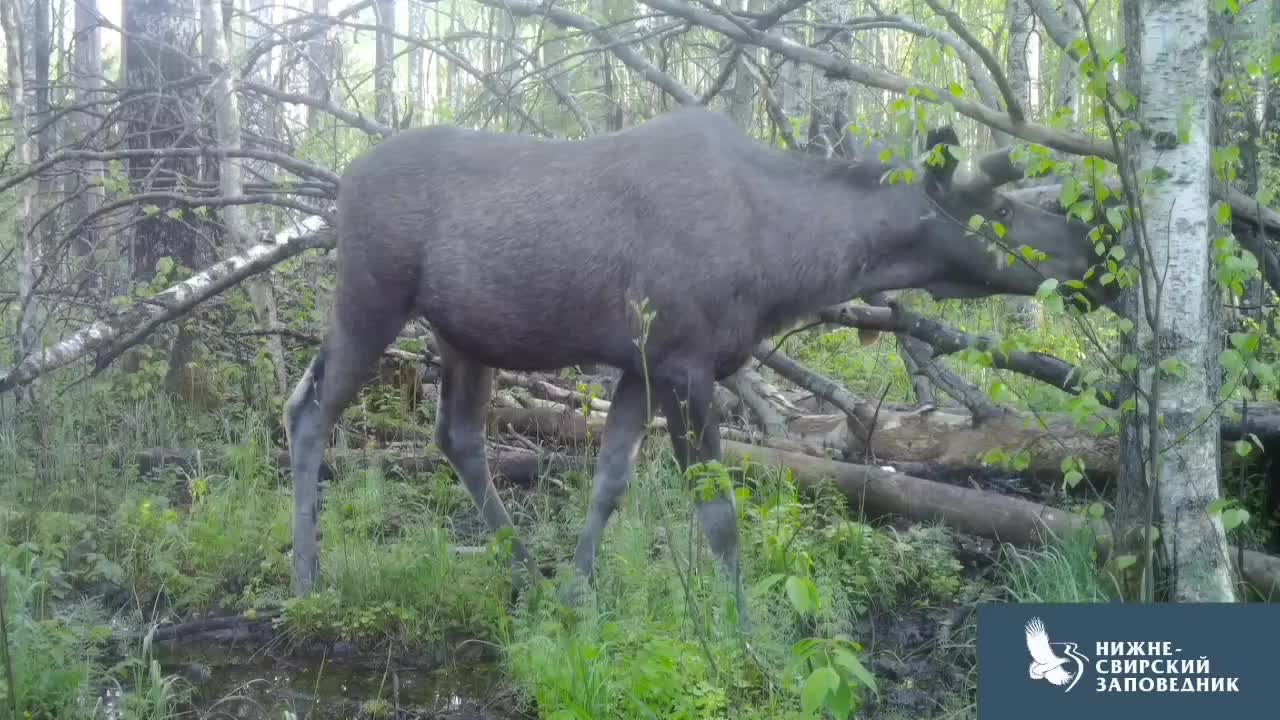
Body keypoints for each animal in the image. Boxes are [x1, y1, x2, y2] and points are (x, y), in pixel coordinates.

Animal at [285, 106, 1116, 627]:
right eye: (998, 210)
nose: (1097, 250)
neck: (788, 262)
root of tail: (338, 186)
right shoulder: (687, 364)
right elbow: (718, 516)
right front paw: (744, 630)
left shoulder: (640, 365)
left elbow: (609, 482)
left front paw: (577, 597)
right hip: (370, 296)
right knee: (307, 411)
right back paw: (306, 574)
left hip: (466, 335)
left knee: (455, 437)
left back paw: (524, 569)